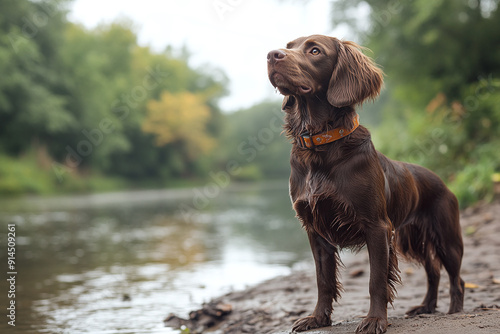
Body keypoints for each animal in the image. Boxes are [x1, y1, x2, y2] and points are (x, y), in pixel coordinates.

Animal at [266, 35, 464, 332]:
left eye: (315, 50)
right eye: (289, 46)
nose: (272, 55)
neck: (320, 147)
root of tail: (441, 180)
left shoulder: (377, 227)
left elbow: (376, 280)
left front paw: (374, 320)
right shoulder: (315, 231)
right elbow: (323, 281)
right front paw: (318, 318)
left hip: (446, 238)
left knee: (456, 277)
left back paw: (455, 310)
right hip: (412, 240)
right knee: (433, 271)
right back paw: (425, 307)